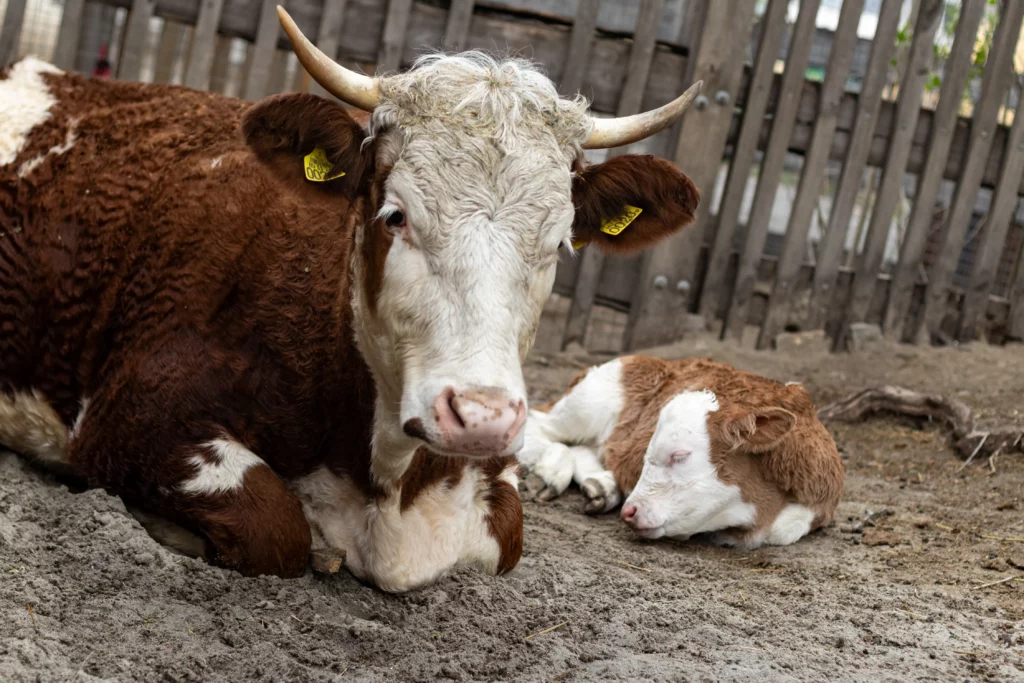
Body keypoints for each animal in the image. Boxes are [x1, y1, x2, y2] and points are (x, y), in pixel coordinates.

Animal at [0, 9, 704, 593]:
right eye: (396, 215)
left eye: (558, 243)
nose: (480, 417)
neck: (390, 484)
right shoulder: (128, 418)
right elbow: (276, 526)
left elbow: (508, 534)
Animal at [524, 356, 843, 548]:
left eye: (679, 456)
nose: (630, 511)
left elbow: (784, 531)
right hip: (586, 405)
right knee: (535, 422)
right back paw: (550, 474)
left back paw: (601, 488)